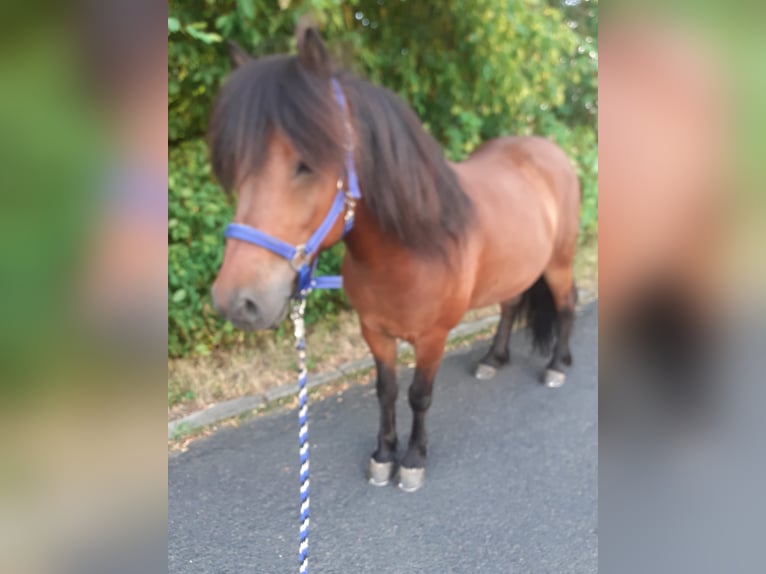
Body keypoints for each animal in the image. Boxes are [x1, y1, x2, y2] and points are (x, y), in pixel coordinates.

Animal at [210, 23, 581, 492]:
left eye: (306, 163)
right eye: (236, 167)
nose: (236, 301)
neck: (410, 250)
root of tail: (552, 154)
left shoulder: (432, 338)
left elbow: (418, 395)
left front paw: (413, 459)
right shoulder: (375, 331)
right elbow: (384, 390)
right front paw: (383, 455)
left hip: (558, 264)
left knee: (566, 305)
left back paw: (557, 366)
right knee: (511, 305)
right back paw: (493, 360)